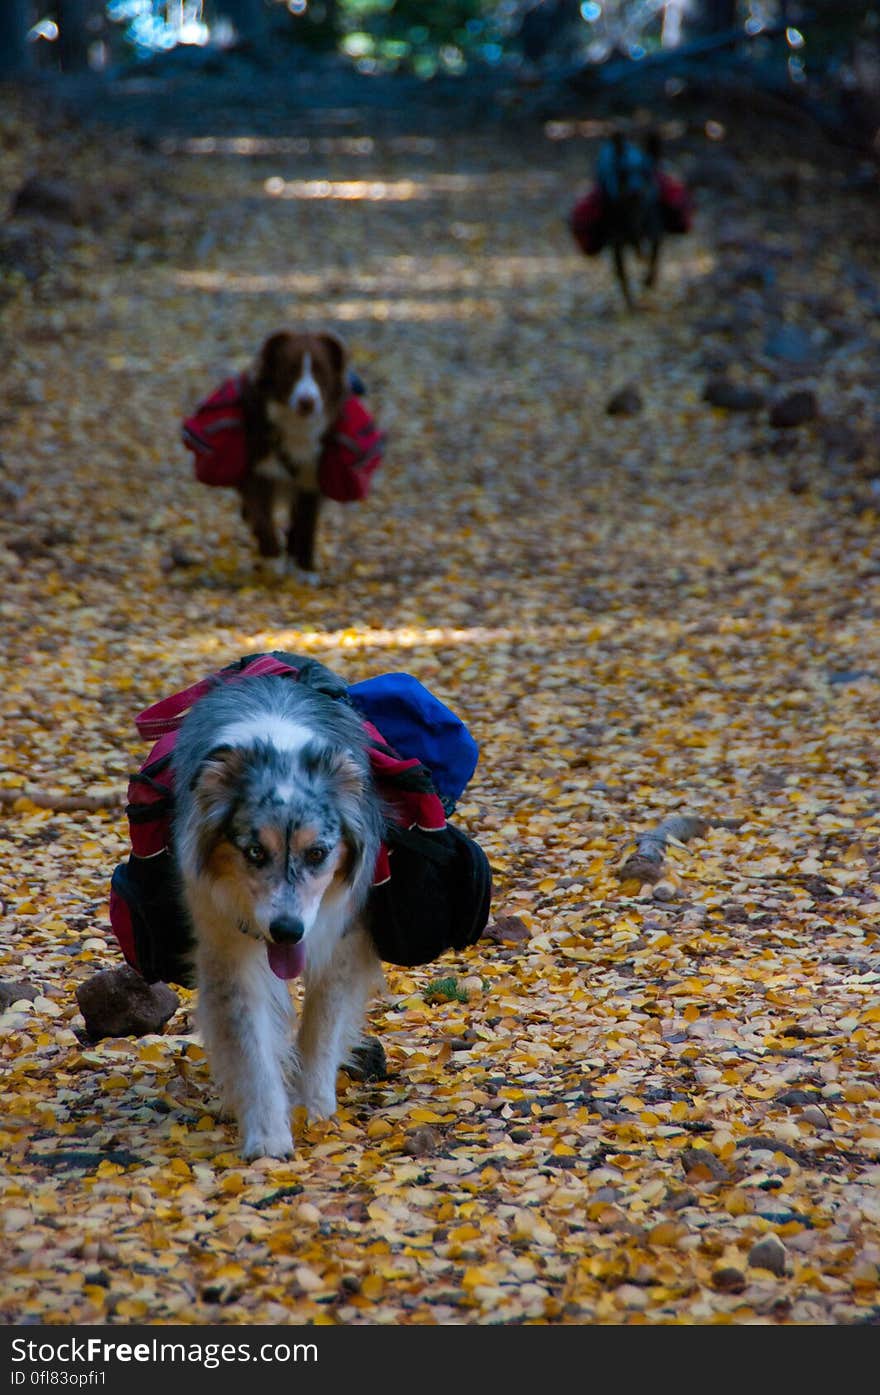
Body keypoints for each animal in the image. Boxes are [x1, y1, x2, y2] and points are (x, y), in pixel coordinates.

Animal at [173, 669, 387, 1160]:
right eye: (254, 852)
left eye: (318, 853)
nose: (287, 932)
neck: (281, 750)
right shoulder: (226, 946)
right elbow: (252, 1046)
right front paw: (269, 1140)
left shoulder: (340, 938)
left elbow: (321, 1029)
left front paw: (317, 1113)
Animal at [241, 330, 351, 583]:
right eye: (290, 369)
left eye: (321, 370)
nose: (306, 402)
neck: (297, 427)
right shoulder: (259, 469)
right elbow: (262, 515)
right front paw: (272, 560)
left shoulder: (312, 478)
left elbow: (306, 524)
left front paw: (305, 569)